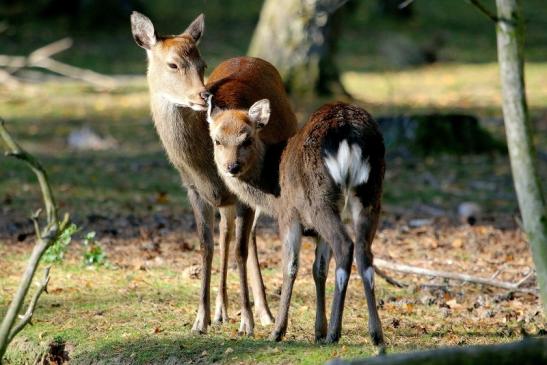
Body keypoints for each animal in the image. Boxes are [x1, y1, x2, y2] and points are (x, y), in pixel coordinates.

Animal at [130, 11, 298, 334]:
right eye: (173, 64)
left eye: (202, 64)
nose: (203, 94)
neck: (203, 167)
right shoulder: (194, 191)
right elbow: (206, 247)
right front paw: (201, 319)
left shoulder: (242, 192)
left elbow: (240, 251)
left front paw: (246, 322)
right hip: (225, 202)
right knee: (227, 233)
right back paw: (222, 311)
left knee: (248, 237)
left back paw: (265, 313)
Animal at [208, 99, 388, 344]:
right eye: (217, 140)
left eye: (247, 139)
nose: (232, 167)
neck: (272, 188)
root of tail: (348, 133)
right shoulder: (317, 231)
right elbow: (319, 269)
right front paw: (318, 330)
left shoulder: (288, 215)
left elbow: (290, 266)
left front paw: (278, 331)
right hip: (371, 196)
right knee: (364, 252)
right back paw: (375, 333)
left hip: (319, 201)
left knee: (344, 245)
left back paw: (335, 333)